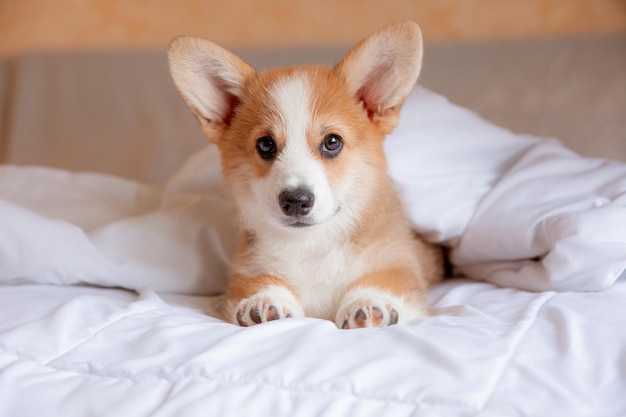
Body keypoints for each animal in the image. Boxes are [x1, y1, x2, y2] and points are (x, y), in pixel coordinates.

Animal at [169, 22, 444, 328]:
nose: (296, 201)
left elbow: (381, 281)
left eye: (332, 142)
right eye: (265, 144)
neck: (311, 246)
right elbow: (260, 281)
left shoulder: (399, 262)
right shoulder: (246, 268)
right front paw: (265, 300)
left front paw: (367, 302)